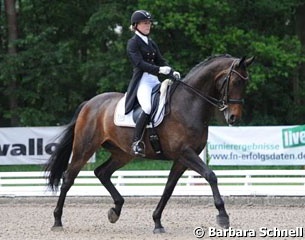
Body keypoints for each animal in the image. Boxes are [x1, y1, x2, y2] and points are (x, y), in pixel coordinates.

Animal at [45, 54, 254, 232]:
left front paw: (157, 222)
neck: (189, 103)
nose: (234, 118)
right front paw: (223, 216)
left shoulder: (182, 159)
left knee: (102, 172)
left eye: (246, 83)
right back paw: (57, 221)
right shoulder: (186, 153)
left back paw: (115, 210)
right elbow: (211, 175)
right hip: (84, 148)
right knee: (68, 178)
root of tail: (89, 103)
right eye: (235, 82)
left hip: (122, 153)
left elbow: (169, 188)